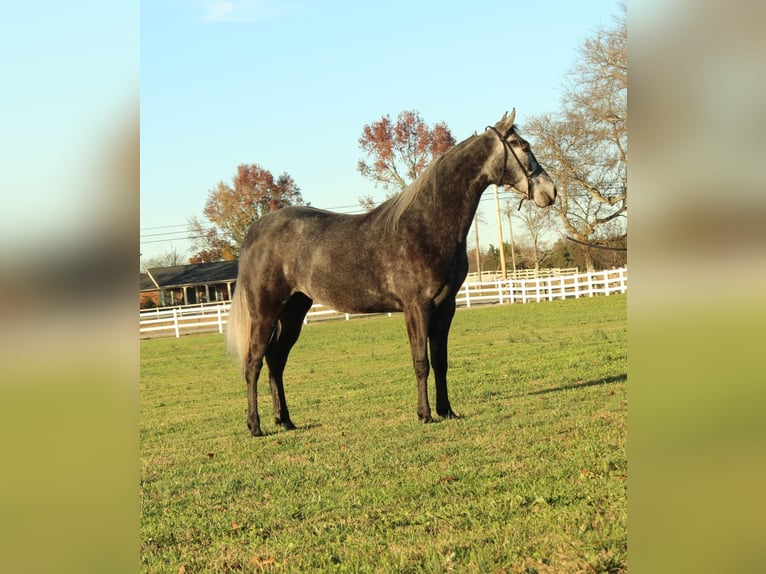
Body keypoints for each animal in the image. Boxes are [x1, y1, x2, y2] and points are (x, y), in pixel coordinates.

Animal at [228, 111, 560, 436]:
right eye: (522, 146)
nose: (550, 191)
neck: (427, 225)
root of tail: (255, 232)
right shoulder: (417, 307)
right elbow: (421, 362)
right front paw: (425, 415)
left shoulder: (445, 307)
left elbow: (440, 361)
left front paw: (447, 411)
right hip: (265, 313)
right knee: (253, 363)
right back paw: (255, 426)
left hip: (294, 311)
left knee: (276, 361)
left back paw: (285, 420)